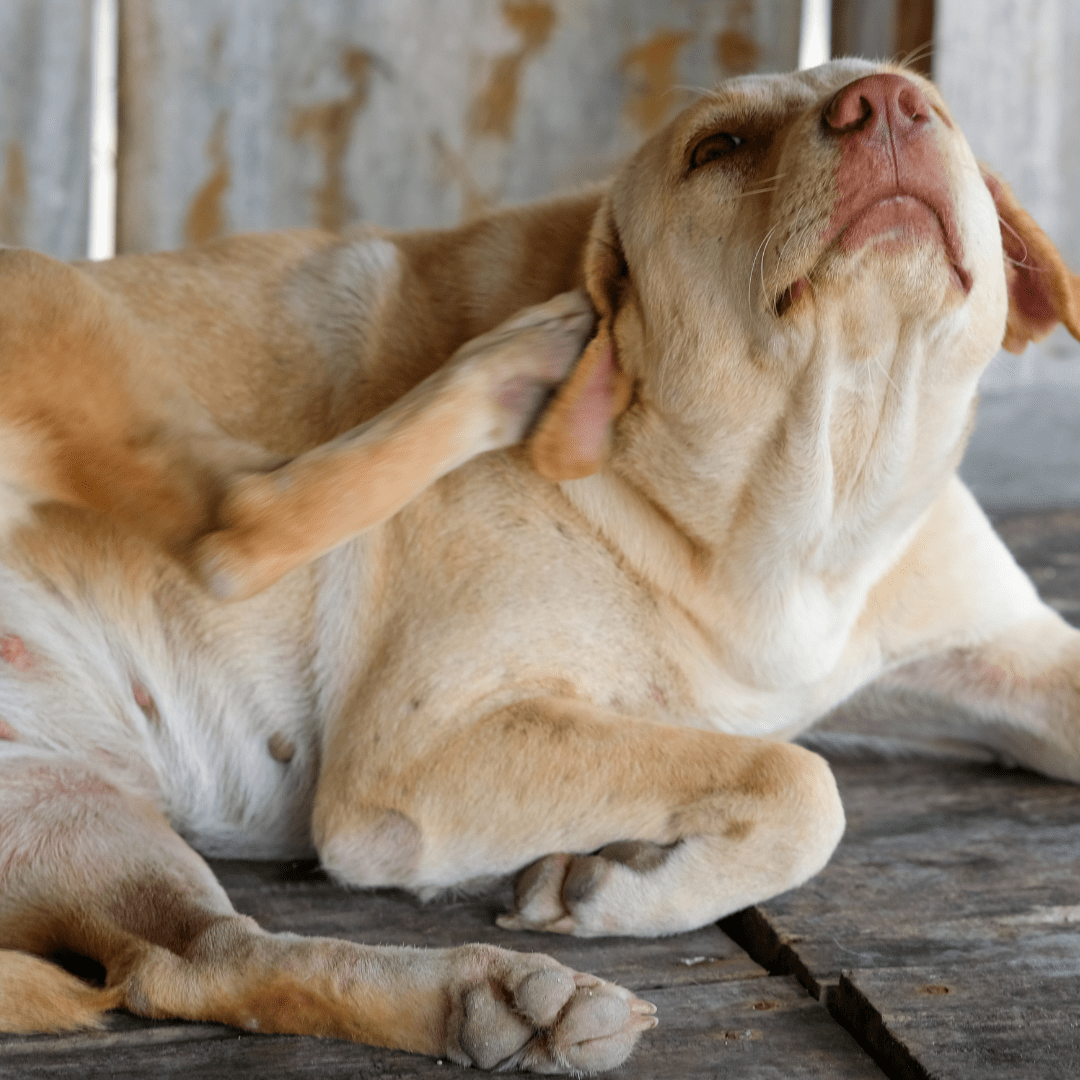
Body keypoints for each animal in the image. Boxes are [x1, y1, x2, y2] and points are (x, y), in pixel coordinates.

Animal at [0, 59, 1075, 1071]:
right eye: (717, 147)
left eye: (938, 108)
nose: (887, 102)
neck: (804, 510)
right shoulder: (422, 753)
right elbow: (800, 778)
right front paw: (624, 887)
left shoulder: (1000, 649)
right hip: (43, 289)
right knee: (235, 526)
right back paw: (506, 370)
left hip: (72, 813)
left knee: (196, 962)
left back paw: (504, 1003)